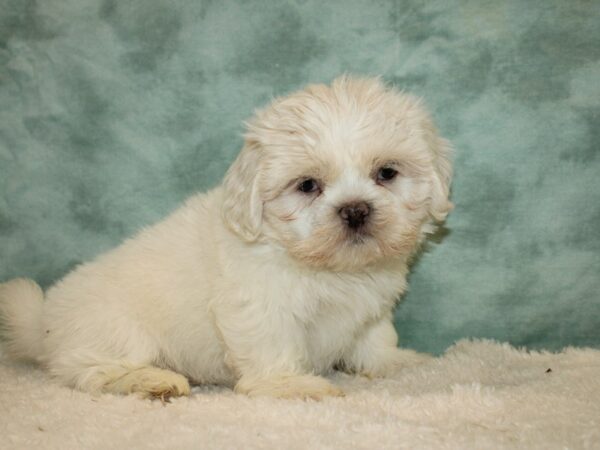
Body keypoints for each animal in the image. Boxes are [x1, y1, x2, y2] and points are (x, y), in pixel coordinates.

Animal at [0, 75, 450, 400]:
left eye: (386, 173)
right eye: (307, 185)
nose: (355, 210)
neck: (329, 269)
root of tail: (44, 319)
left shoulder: (370, 306)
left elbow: (375, 336)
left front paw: (396, 361)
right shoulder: (261, 304)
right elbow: (273, 346)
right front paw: (290, 385)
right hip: (114, 331)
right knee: (92, 370)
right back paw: (150, 381)